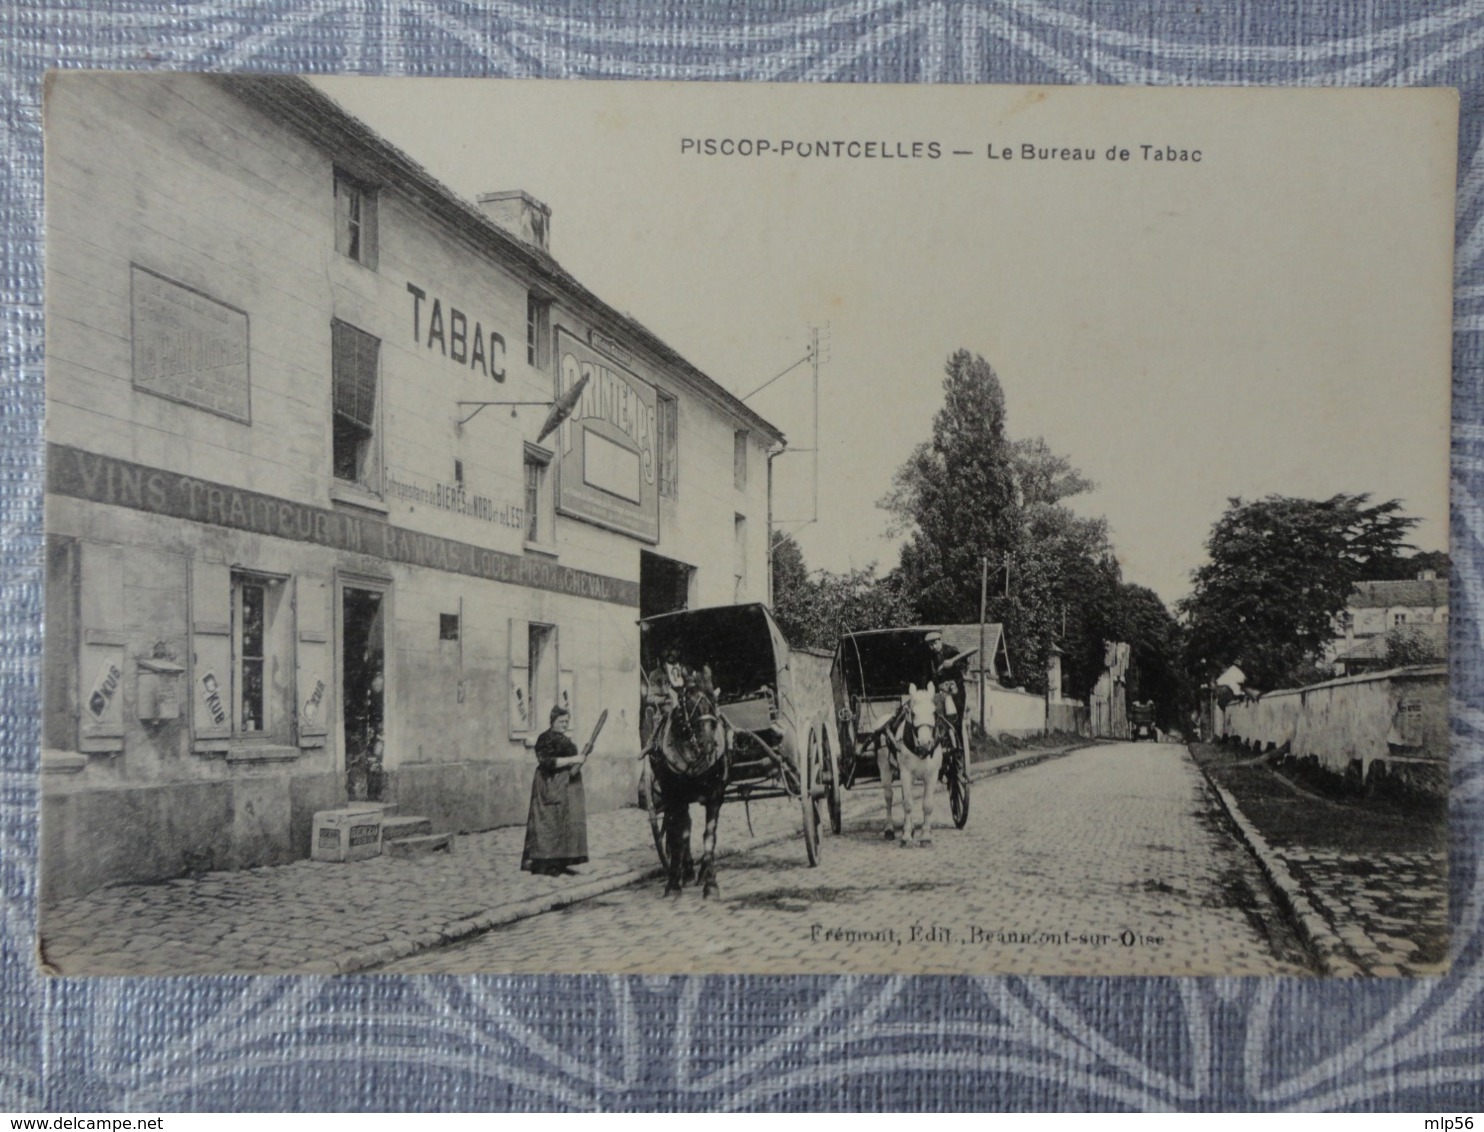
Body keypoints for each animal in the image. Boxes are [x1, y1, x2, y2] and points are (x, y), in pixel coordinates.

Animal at [649, 667, 730, 896]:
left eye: (714, 700)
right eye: (689, 702)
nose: (708, 744)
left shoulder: (715, 796)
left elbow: (709, 835)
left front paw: (710, 883)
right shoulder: (675, 798)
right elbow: (680, 835)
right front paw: (674, 883)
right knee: (679, 829)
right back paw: (684, 873)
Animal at [872, 682, 943, 848]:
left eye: (934, 712)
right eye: (914, 713)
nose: (925, 743)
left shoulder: (932, 774)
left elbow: (927, 805)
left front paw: (925, 836)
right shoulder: (905, 772)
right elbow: (908, 804)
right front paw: (905, 837)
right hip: (884, 768)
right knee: (889, 797)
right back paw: (889, 829)